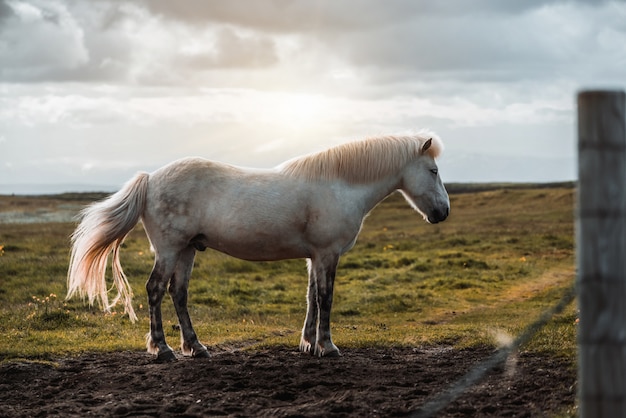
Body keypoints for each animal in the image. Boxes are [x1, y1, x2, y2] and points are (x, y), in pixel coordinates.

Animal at [67, 131, 448, 362]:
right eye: (432, 170)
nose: (442, 212)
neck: (339, 184)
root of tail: (150, 179)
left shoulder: (314, 257)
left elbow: (311, 297)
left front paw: (308, 343)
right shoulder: (327, 254)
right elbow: (325, 298)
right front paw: (327, 346)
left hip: (187, 250)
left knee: (179, 293)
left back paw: (196, 346)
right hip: (170, 249)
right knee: (155, 289)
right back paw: (162, 349)